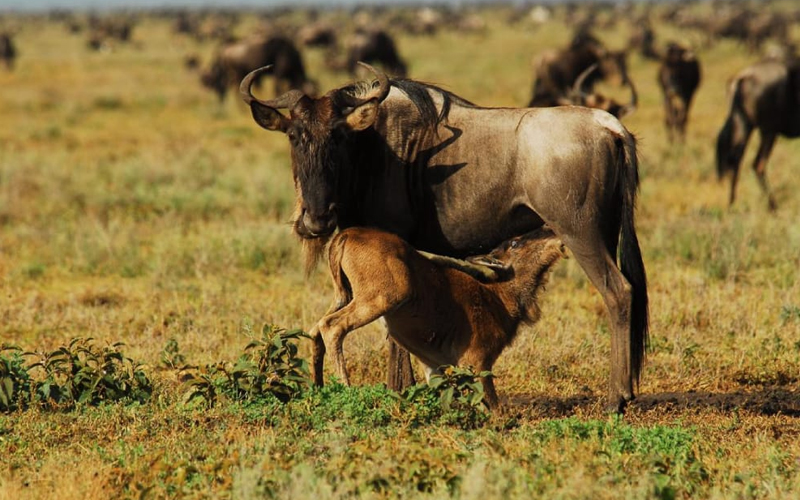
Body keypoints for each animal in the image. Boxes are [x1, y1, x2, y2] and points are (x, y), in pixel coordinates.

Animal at [310, 226, 564, 406]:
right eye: (514, 242)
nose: (552, 230)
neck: (497, 295)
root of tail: (346, 235)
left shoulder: (434, 364)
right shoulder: (477, 361)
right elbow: (494, 407)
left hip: (344, 295)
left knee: (315, 330)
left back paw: (318, 389)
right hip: (382, 297)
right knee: (331, 326)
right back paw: (346, 391)